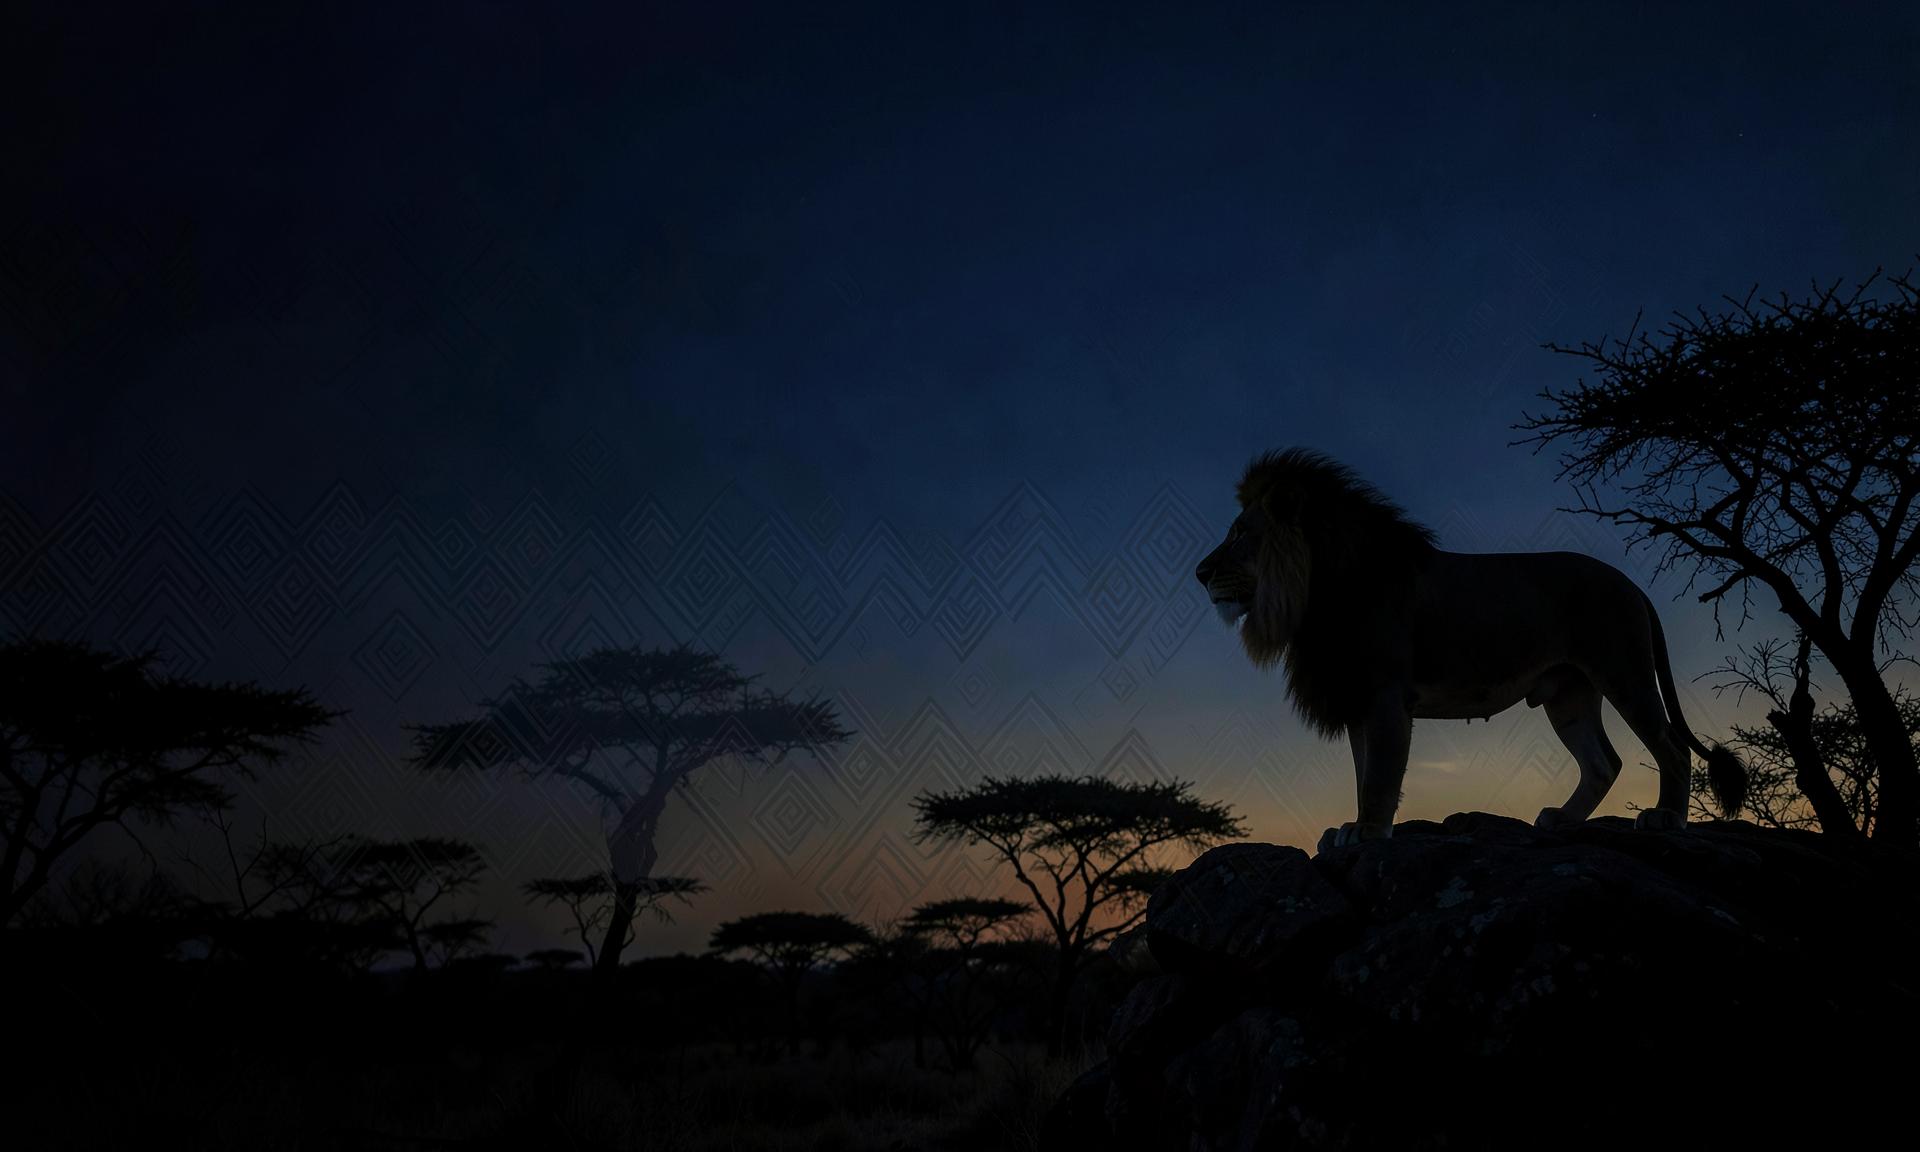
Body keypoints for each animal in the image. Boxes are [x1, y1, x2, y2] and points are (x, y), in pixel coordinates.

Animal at [1195, 448, 1747, 852]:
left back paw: (1666, 818)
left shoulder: (1386, 696)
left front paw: (1368, 831)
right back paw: (1563, 820)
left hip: (1623, 672)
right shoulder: (1357, 699)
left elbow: (1379, 775)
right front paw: (1353, 827)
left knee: (1671, 746)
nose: (1199, 573)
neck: (1314, 596)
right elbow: (1361, 771)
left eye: (1241, 533)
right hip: (1567, 694)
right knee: (1603, 762)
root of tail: (1633, 585)